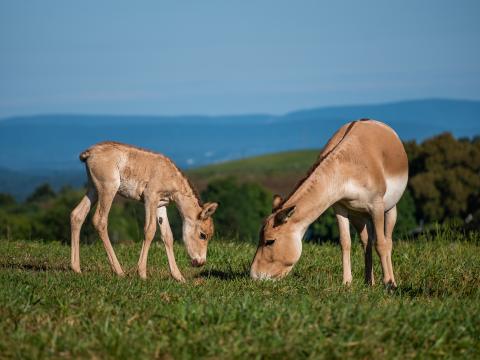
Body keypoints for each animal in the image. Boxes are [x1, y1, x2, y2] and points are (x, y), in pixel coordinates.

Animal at [70, 141, 218, 282]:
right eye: (203, 235)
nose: (200, 262)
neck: (170, 176)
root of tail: (89, 152)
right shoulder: (150, 196)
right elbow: (150, 230)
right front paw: (141, 274)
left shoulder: (161, 204)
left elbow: (168, 236)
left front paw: (179, 277)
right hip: (108, 187)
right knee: (99, 221)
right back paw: (119, 271)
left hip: (93, 188)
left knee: (77, 215)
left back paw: (76, 268)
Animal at [251, 120, 408, 286]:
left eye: (269, 241)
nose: (254, 276)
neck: (346, 169)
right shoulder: (340, 207)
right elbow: (345, 242)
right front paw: (346, 283)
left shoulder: (376, 206)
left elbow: (381, 244)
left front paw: (388, 283)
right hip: (358, 216)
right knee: (367, 242)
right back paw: (369, 283)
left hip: (389, 209)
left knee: (387, 241)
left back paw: (391, 282)